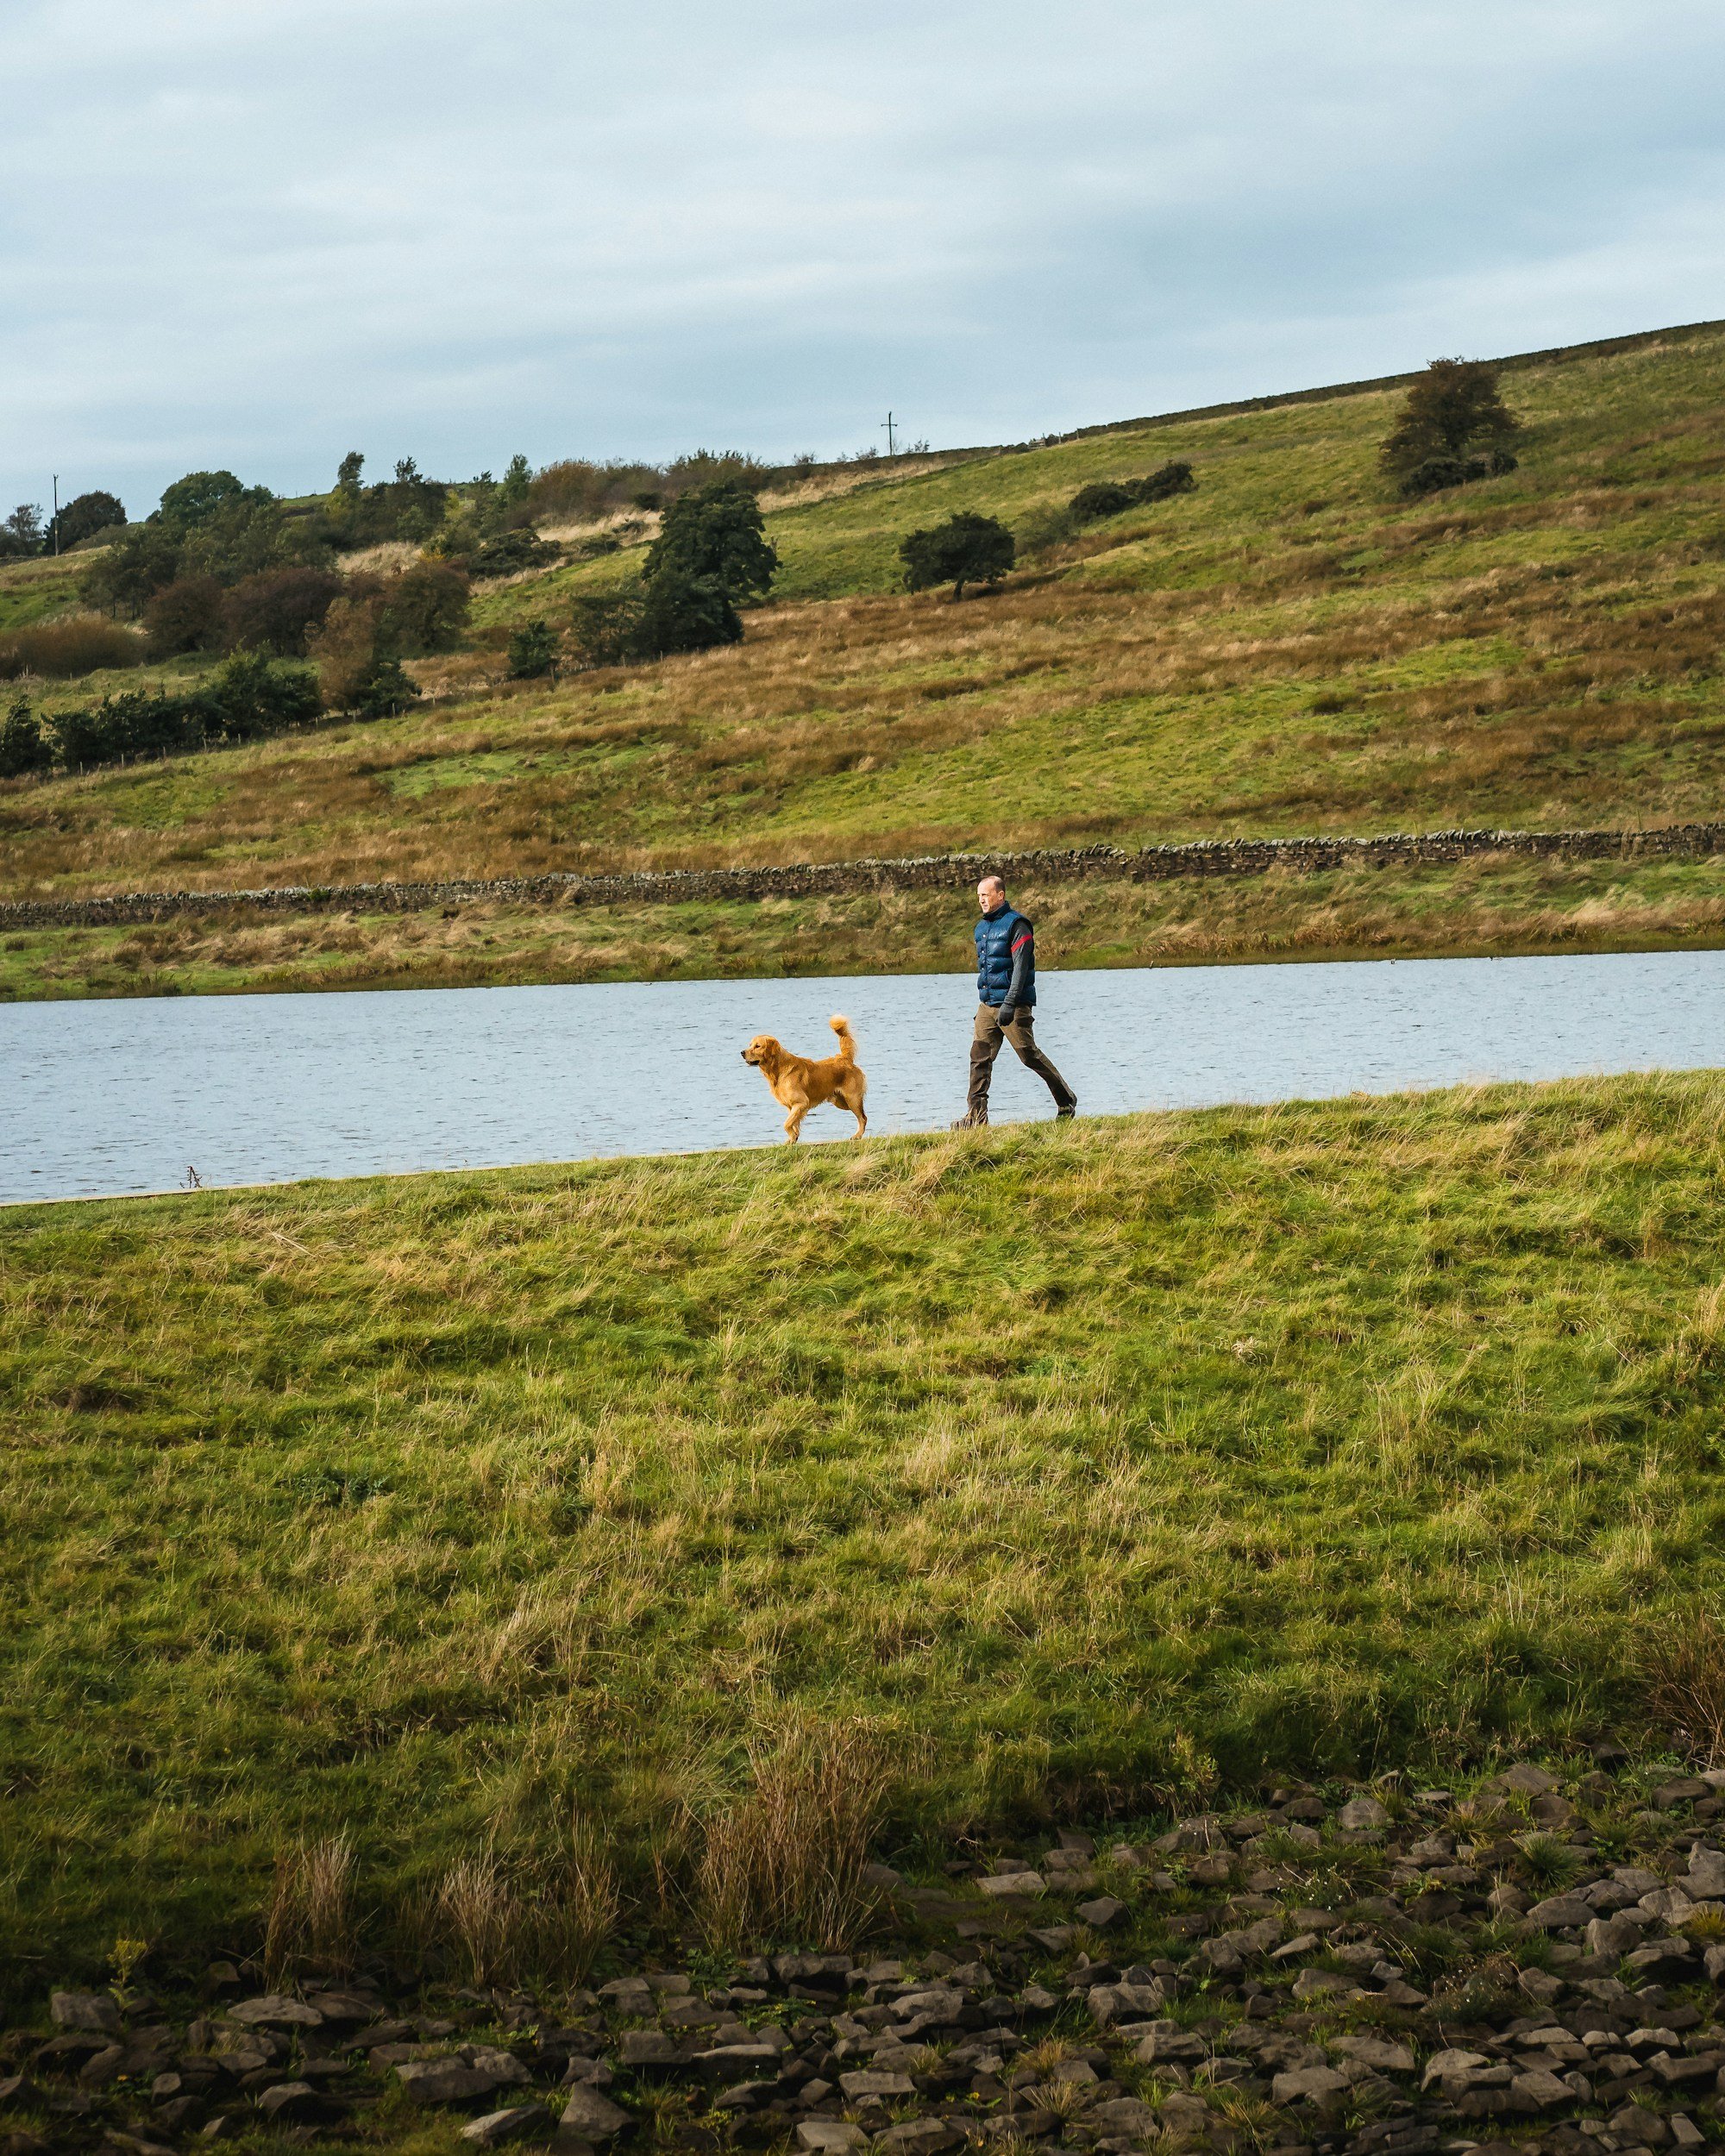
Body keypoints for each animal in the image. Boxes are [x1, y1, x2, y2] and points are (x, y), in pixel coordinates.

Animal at [741, 1014, 868, 1143]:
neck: (779, 1070)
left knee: (863, 1117)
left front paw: (792, 1137)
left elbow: (786, 1124)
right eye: (750, 1045)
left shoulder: (801, 1102)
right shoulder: (792, 1106)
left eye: (758, 1046)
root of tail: (845, 1058)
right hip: (841, 1102)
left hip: (852, 1099)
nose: (742, 1052)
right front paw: (793, 1138)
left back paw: (857, 1135)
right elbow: (794, 1124)